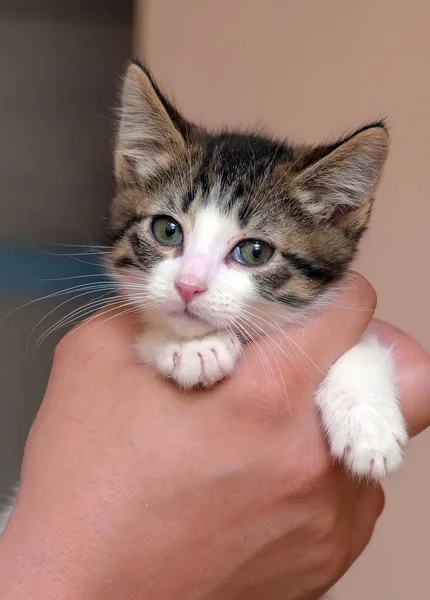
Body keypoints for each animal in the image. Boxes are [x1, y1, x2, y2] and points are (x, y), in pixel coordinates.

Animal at [0, 62, 406, 536]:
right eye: (166, 230)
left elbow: (367, 342)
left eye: (255, 251)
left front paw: (368, 421)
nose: (189, 285)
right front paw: (195, 347)